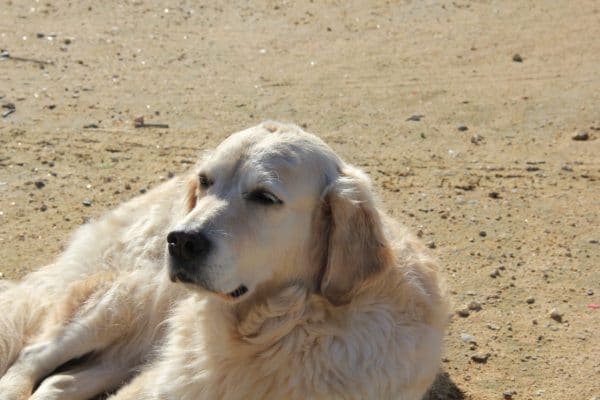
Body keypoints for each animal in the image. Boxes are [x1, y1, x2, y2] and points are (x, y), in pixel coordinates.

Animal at [0, 120, 448, 398]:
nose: (180, 240)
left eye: (264, 197)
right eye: (205, 181)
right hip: (123, 301)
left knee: (58, 382)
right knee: (32, 357)